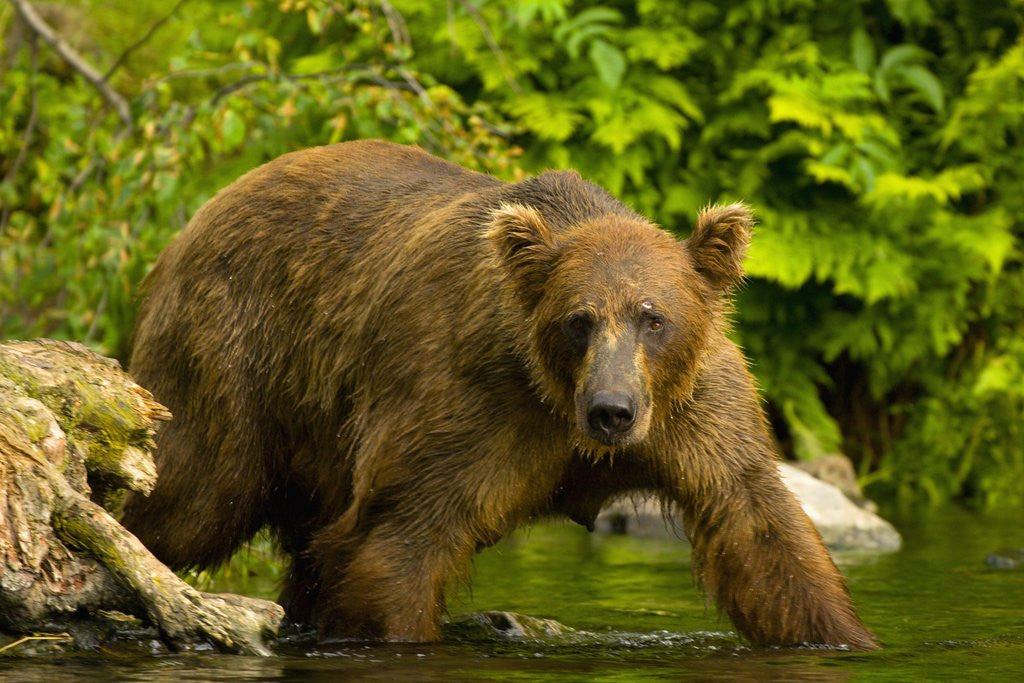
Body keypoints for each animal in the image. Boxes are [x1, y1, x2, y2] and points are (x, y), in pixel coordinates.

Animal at [122, 140, 877, 650]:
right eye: (579, 319)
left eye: (653, 316)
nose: (611, 411)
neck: (557, 402)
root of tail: (195, 220)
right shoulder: (469, 403)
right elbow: (398, 539)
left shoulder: (693, 412)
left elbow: (762, 535)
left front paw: (843, 634)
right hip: (237, 355)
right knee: (194, 492)